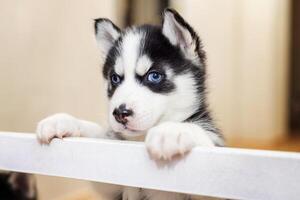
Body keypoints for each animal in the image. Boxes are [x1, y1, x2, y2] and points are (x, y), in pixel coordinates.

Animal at [36, 8, 224, 200]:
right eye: (115, 78)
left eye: (154, 76)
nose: (120, 113)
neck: (139, 141)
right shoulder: (111, 179)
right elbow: (98, 135)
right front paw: (64, 121)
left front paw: (171, 131)